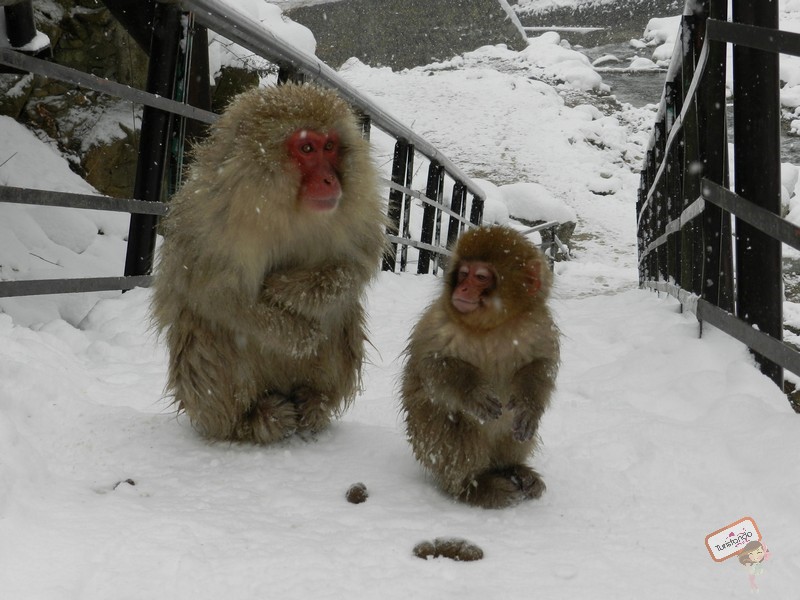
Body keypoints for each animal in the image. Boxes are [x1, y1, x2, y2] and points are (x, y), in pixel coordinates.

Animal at [152, 82, 388, 442]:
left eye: (330, 146)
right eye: (307, 148)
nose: (330, 180)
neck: (286, 206)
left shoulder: (359, 210)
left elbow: (356, 264)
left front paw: (291, 290)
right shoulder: (210, 217)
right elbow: (214, 294)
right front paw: (296, 333)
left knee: (342, 314)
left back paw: (314, 402)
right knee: (208, 333)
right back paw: (250, 420)